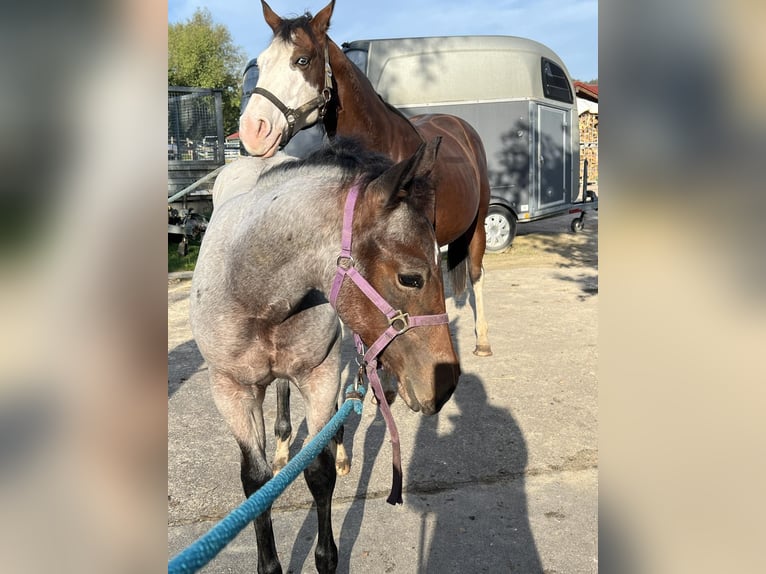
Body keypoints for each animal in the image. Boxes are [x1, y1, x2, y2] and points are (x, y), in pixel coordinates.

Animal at [190, 140, 462, 574]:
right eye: (411, 277)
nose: (445, 384)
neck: (252, 292)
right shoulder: (231, 390)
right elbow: (255, 483)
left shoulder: (320, 375)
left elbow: (318, 472)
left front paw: (327, 557)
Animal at [240, 0, 496, 358]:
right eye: (262, 62)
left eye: (302, 60)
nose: (253, 131)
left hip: (479, 222)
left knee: (476, 272)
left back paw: (483, 340)